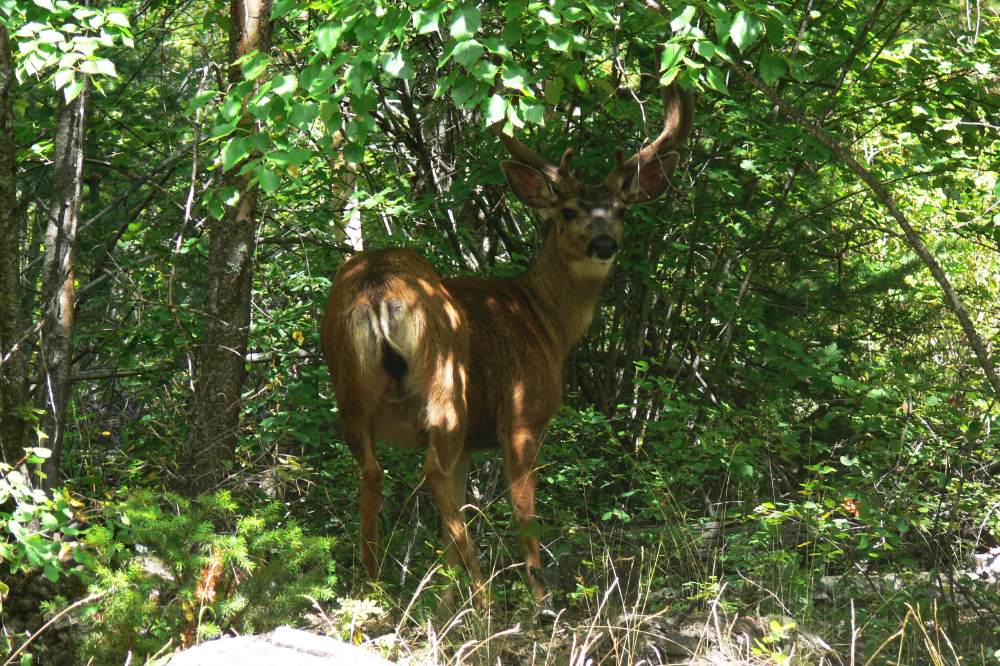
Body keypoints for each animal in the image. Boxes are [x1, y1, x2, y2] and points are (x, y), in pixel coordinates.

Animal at [321, 75, 694, 610]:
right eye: (568, 211)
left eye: (621, 210)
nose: (604, 243)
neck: (544, 320)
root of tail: (376, 289)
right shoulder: (521, 414)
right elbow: (523, 510)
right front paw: (538, 595)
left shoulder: (472, 443)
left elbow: (454, 522)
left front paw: (446, 602)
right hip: (446, 385)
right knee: (431, 473)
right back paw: (484, 596)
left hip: (349, 389)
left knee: (374, 472)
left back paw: (375, 591)